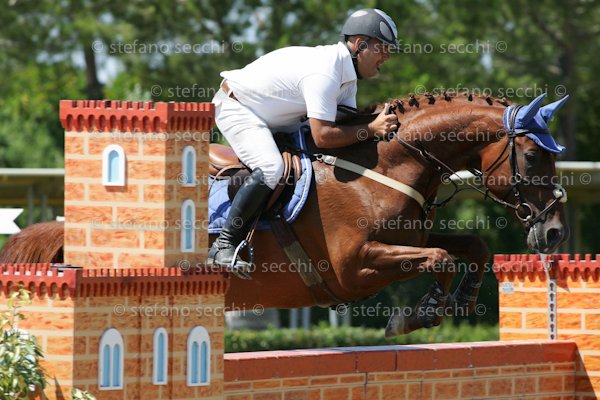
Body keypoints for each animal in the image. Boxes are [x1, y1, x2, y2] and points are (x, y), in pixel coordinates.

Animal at [0, 92, 569, 336]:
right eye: (533, 156)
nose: (555, 233)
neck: (385, 166)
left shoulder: (405, 239)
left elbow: (470, 247)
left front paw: (462, 300)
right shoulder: (355, 266)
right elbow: (439, 259)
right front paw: (419, 314)